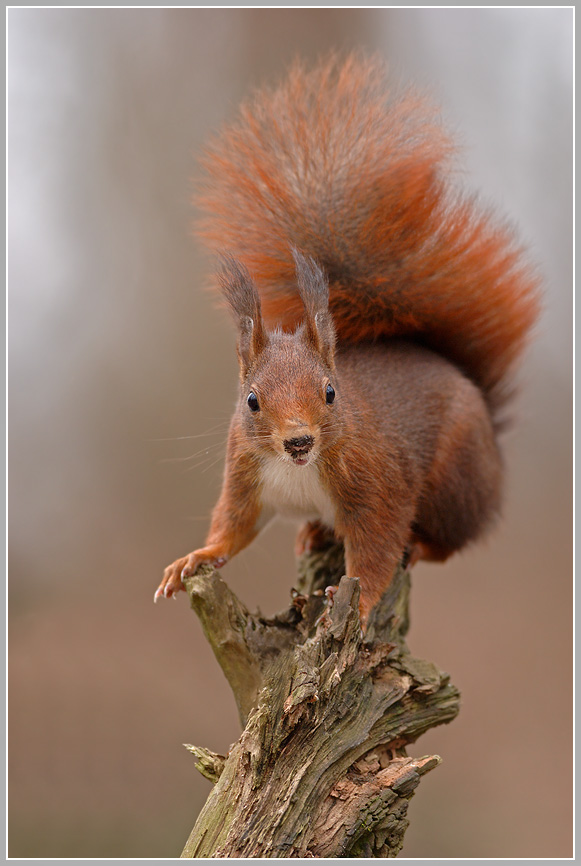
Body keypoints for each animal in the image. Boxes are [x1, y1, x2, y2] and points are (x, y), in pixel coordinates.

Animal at [153, 54, 540, 624]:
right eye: (251, 401)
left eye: (331, 392)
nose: (298, 440)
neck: (297, 471)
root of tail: (489, 424)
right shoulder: (244, 481)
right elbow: (232, 529)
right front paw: (193, 559)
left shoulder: (376, 485)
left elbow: (377, 546)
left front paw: (363, 602)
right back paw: (313, 533)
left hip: (455, 480)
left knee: (453, 538)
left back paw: (422, 545)